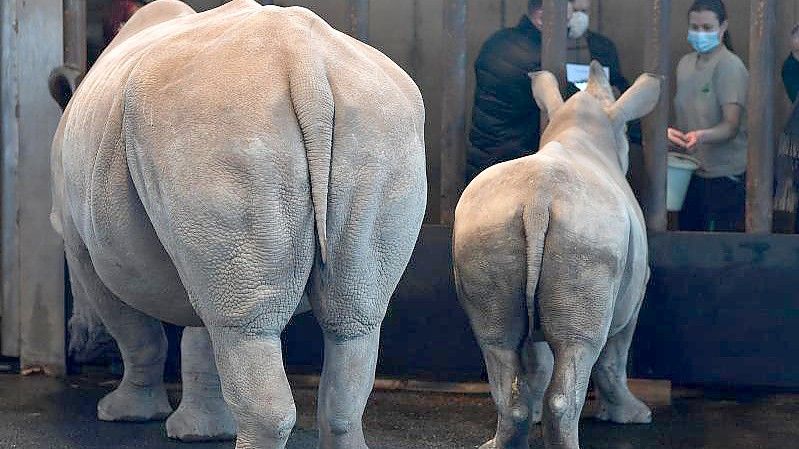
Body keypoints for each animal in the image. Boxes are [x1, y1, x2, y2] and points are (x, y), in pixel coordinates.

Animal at [50, 1, 428, 446]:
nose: (80, 348)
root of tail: (305, 62)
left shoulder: (81, 246)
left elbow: (137, 333)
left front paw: (123, 415)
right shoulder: (195, 243)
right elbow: (203, 338)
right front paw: (201, 431)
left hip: (218, 125)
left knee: (242, 327)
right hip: (377, 128)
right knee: (352, 319)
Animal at [454, 60, 660, 448]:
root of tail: (539, 196)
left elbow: (538, 359)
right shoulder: (637, 291)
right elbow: (615, 355)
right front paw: (635, 417)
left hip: (487, 224)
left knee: (497, 342)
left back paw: (499, 441)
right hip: (589, 232)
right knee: (579, 347)